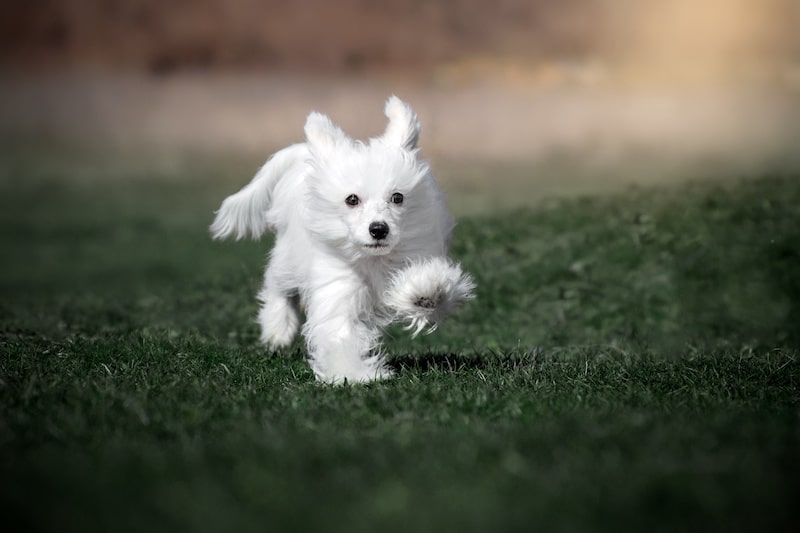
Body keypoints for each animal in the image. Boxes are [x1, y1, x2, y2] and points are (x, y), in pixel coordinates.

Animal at [211, 96, 476, 382]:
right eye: (352, 199)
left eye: (397, 197)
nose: (379, 229)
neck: (373, 259)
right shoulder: (339, 288)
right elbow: (340, 334)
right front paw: (356, 375)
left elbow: (435, 286)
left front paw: (424, 293)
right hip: (288, 257)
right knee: (277, 285)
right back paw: (278, 329)